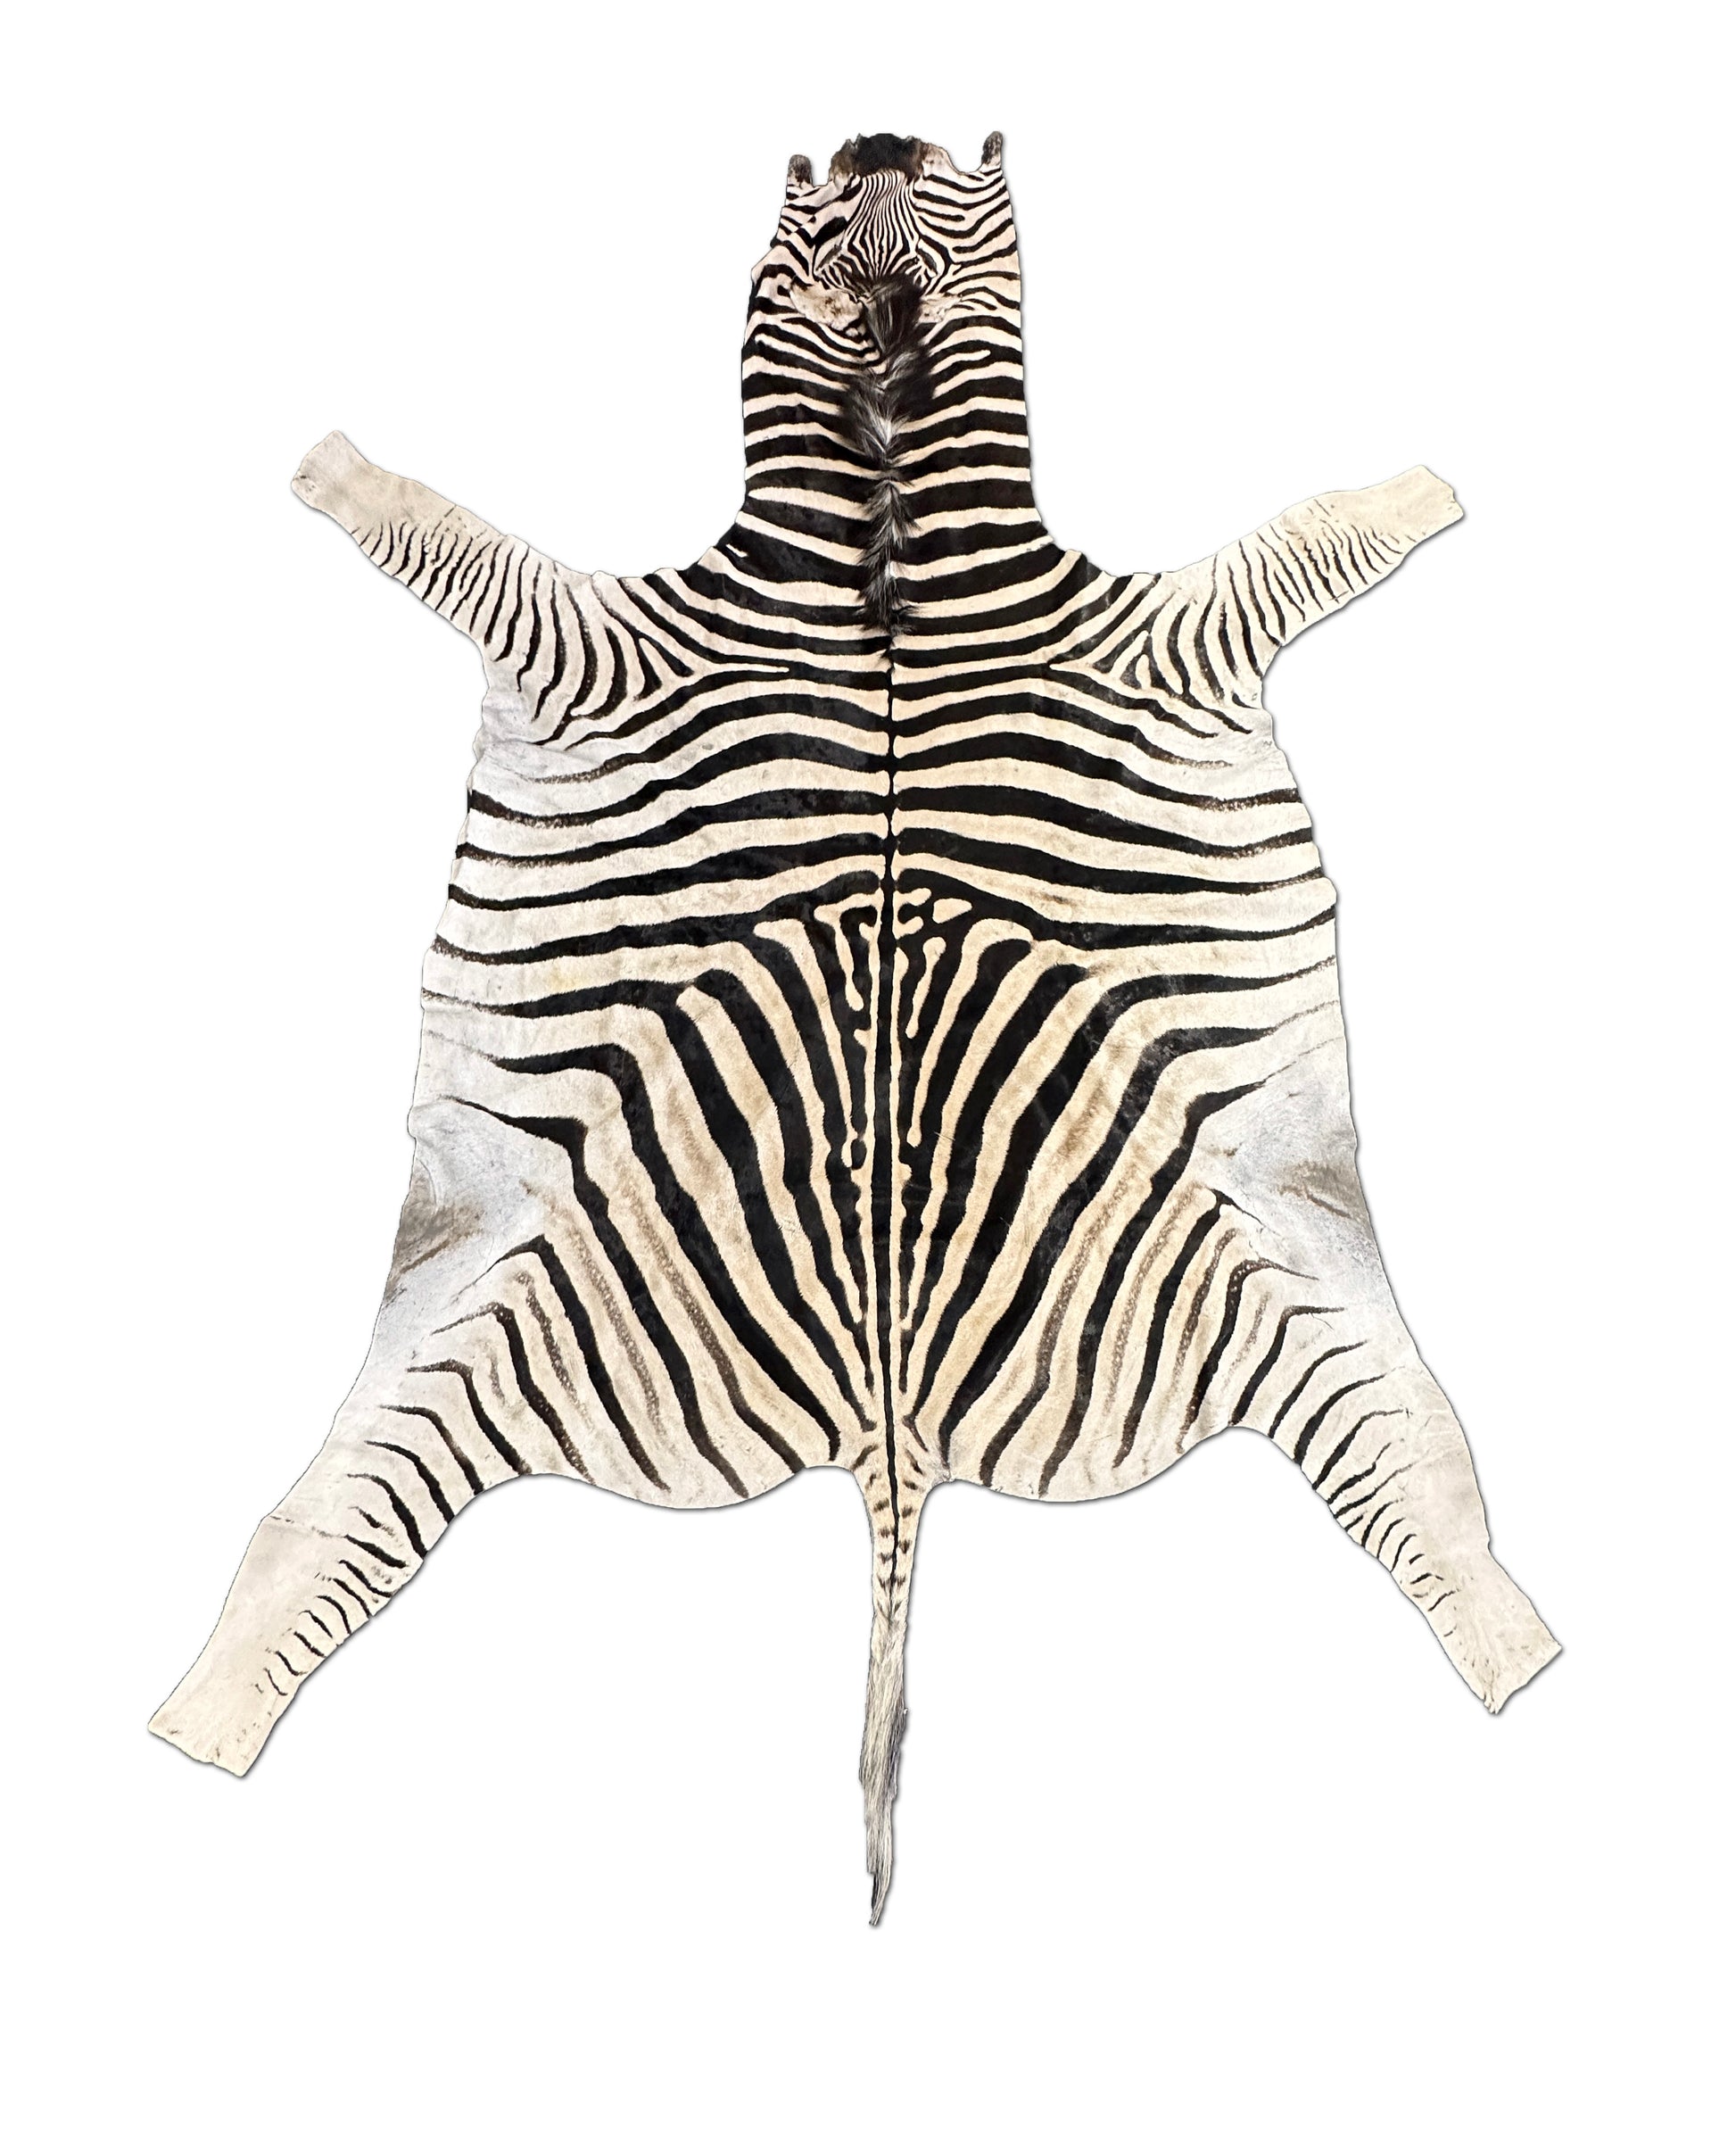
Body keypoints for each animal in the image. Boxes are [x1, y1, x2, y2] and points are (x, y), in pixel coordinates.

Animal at [150, 130, 1558, 1919]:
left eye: (964, 164)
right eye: (813, 173)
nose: (883, 133)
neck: (884, 532)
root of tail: (890, 1432)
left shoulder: (1170, 633)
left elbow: (1312, 535)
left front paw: (1423, 490)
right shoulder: (597, 643)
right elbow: (444, 537)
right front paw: (330, 466)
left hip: (1292, 1278)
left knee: (1421, 1483)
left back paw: (1525, 1651)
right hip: (477, 1307)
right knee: (318, 1533)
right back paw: (193, 1723)